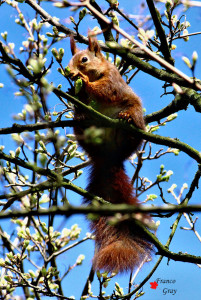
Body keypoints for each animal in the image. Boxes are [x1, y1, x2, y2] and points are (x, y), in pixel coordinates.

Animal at [67, 34, 152, 274]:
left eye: (84, 59)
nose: (68, 71)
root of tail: (110, 156)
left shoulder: (113, 81)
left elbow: (105, 90)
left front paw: (83, 81)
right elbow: (83, 99)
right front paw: (74, 90)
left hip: (133, 112)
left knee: (129, 120)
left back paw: (126, 120)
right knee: (83, 124)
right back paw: (82, 120)